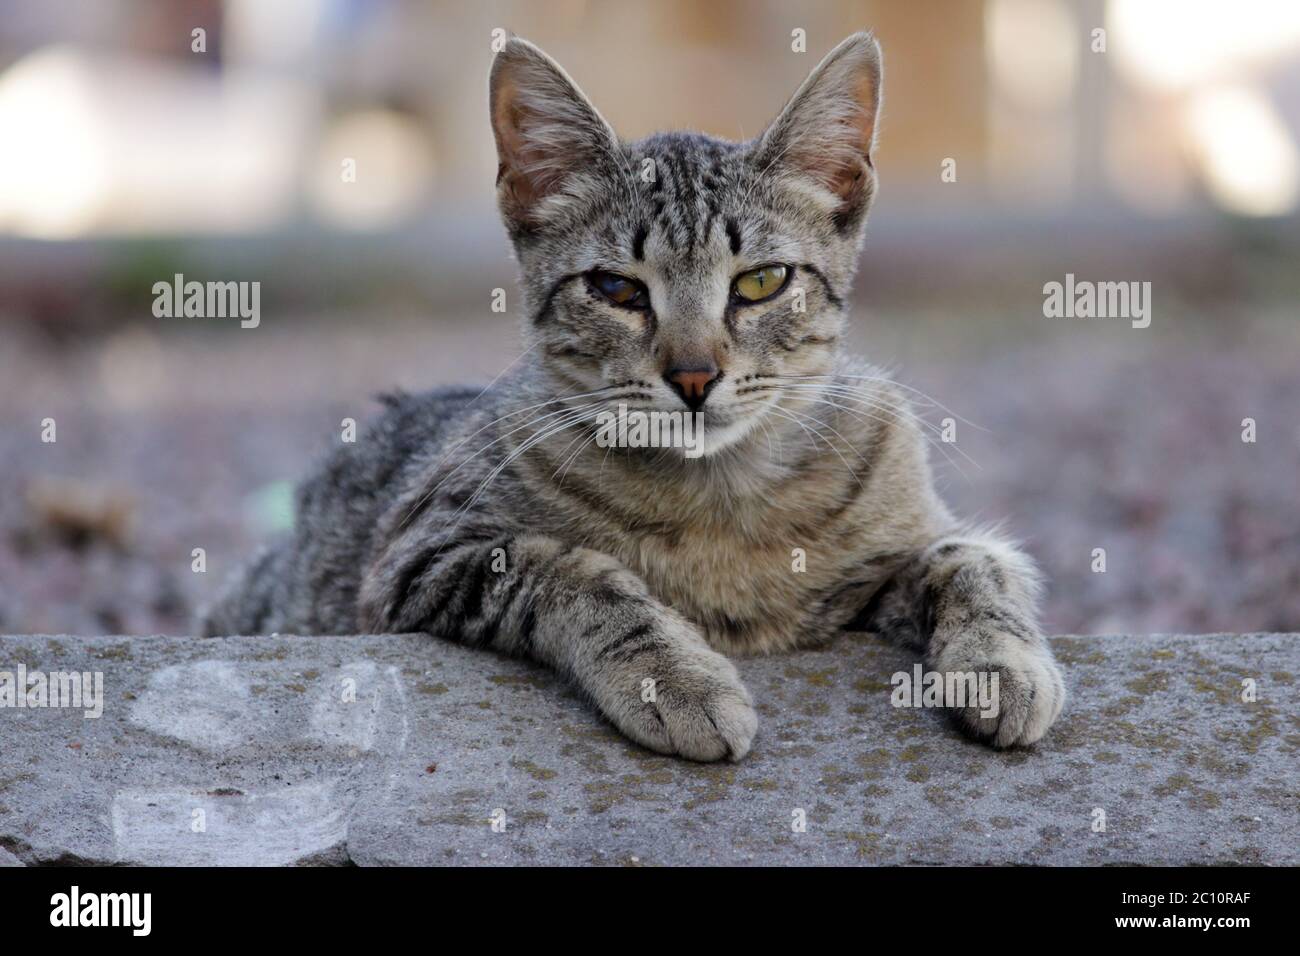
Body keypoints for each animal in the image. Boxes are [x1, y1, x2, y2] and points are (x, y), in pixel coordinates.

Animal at [197, 31, 1060, 764]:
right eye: (615, 289)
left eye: (761, 282)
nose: (694, 377)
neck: (719, 499)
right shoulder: (418, 556)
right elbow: (575, 573)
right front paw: (675, 677)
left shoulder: (903, 541)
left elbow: (974, 558)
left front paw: (1002, 661)